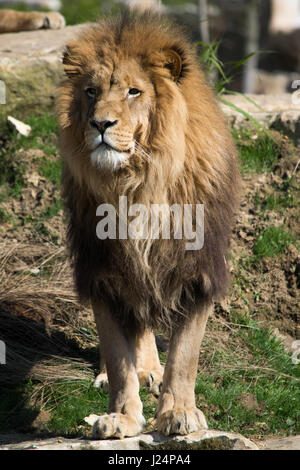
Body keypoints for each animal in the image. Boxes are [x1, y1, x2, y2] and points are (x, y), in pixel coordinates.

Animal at [55, 11, 239, 438]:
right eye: (90, 91)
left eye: (134, 92)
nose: (100, 124)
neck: (138, 184)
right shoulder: (103, 271)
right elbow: (118, 355)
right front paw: (121, 416)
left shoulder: (197, 272)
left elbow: (185, 356)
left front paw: (180, 412)